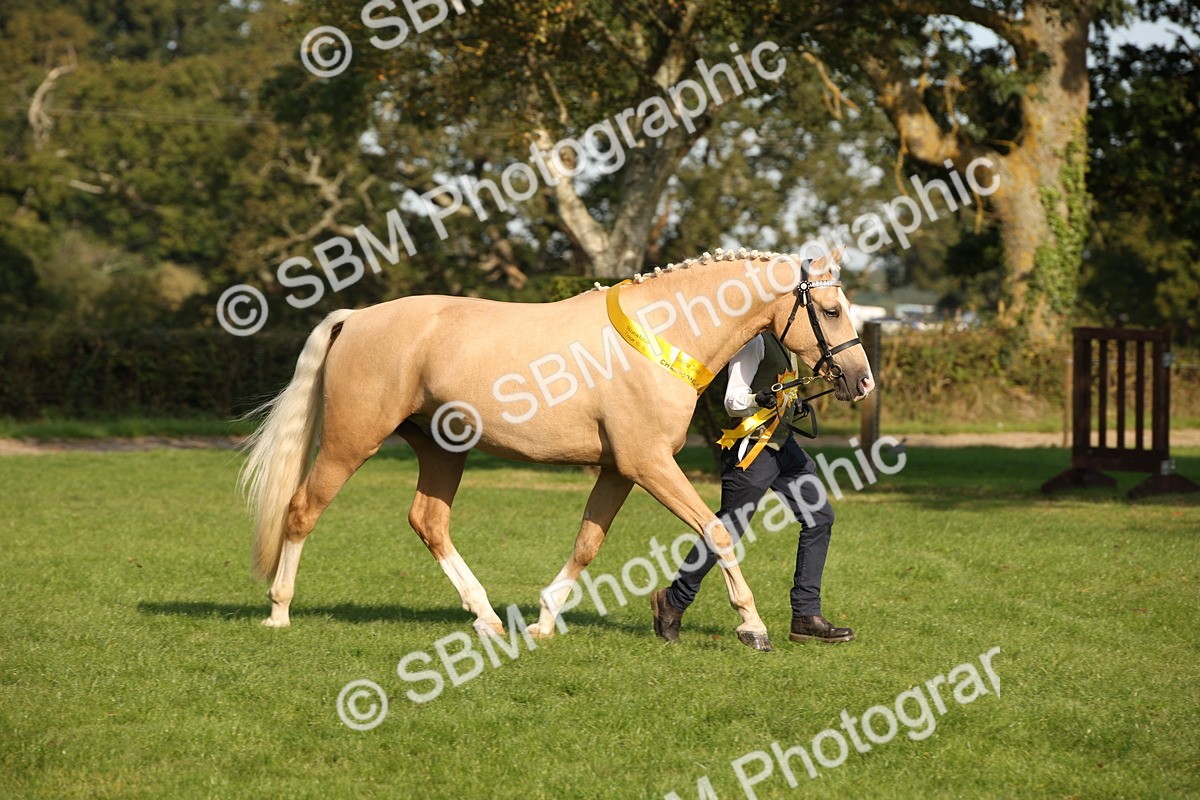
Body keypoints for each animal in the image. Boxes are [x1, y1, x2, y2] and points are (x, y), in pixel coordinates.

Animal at [241, 246, 874, 651]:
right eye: (832, 309)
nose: (860, 380)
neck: (664, 332)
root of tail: (354, 319)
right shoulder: (649, 464)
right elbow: (716, 531)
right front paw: (753, 626)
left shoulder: (620, 469)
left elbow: (588, 542)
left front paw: (544, 622)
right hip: (350, 441)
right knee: (302, 511)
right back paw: (278, 610)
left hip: (443, 449)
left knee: (428, 521)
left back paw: (489, 619)